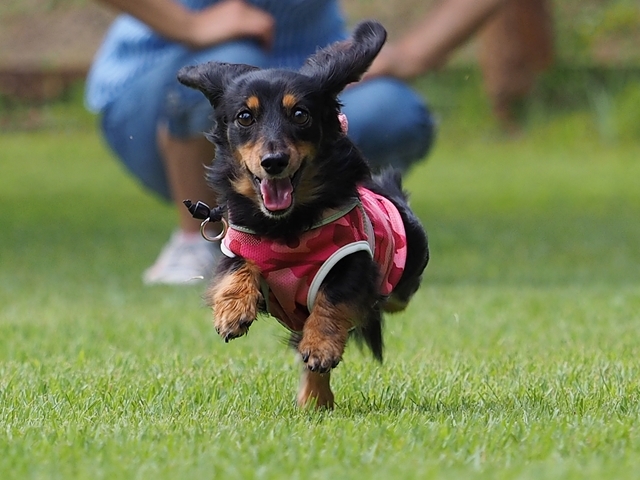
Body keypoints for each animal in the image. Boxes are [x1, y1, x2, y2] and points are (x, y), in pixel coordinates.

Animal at [178, 19, 428, 408]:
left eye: (300, 114)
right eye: (245, 117)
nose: (274, 161)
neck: (287, 229)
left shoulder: (353, 259)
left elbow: (333, 297)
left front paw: (321, 345)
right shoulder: (237, 241)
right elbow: (238, 266)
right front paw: (232, 312)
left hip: (405, 275)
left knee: (391, 299)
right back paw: (315, 399)